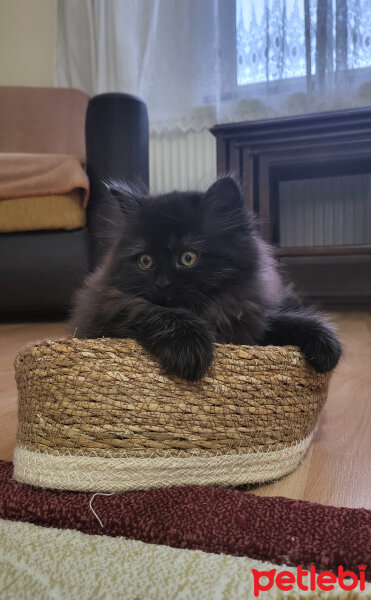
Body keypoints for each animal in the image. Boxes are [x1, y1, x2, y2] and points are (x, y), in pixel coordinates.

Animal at [72, 177, 342, 380]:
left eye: (188, 257)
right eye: (145, 261)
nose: (163, 282)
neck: (208, 313)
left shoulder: (248, 320)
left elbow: (282, 321)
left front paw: (324, 341)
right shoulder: (106, 312)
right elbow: (152, 311)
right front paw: (190, 349)